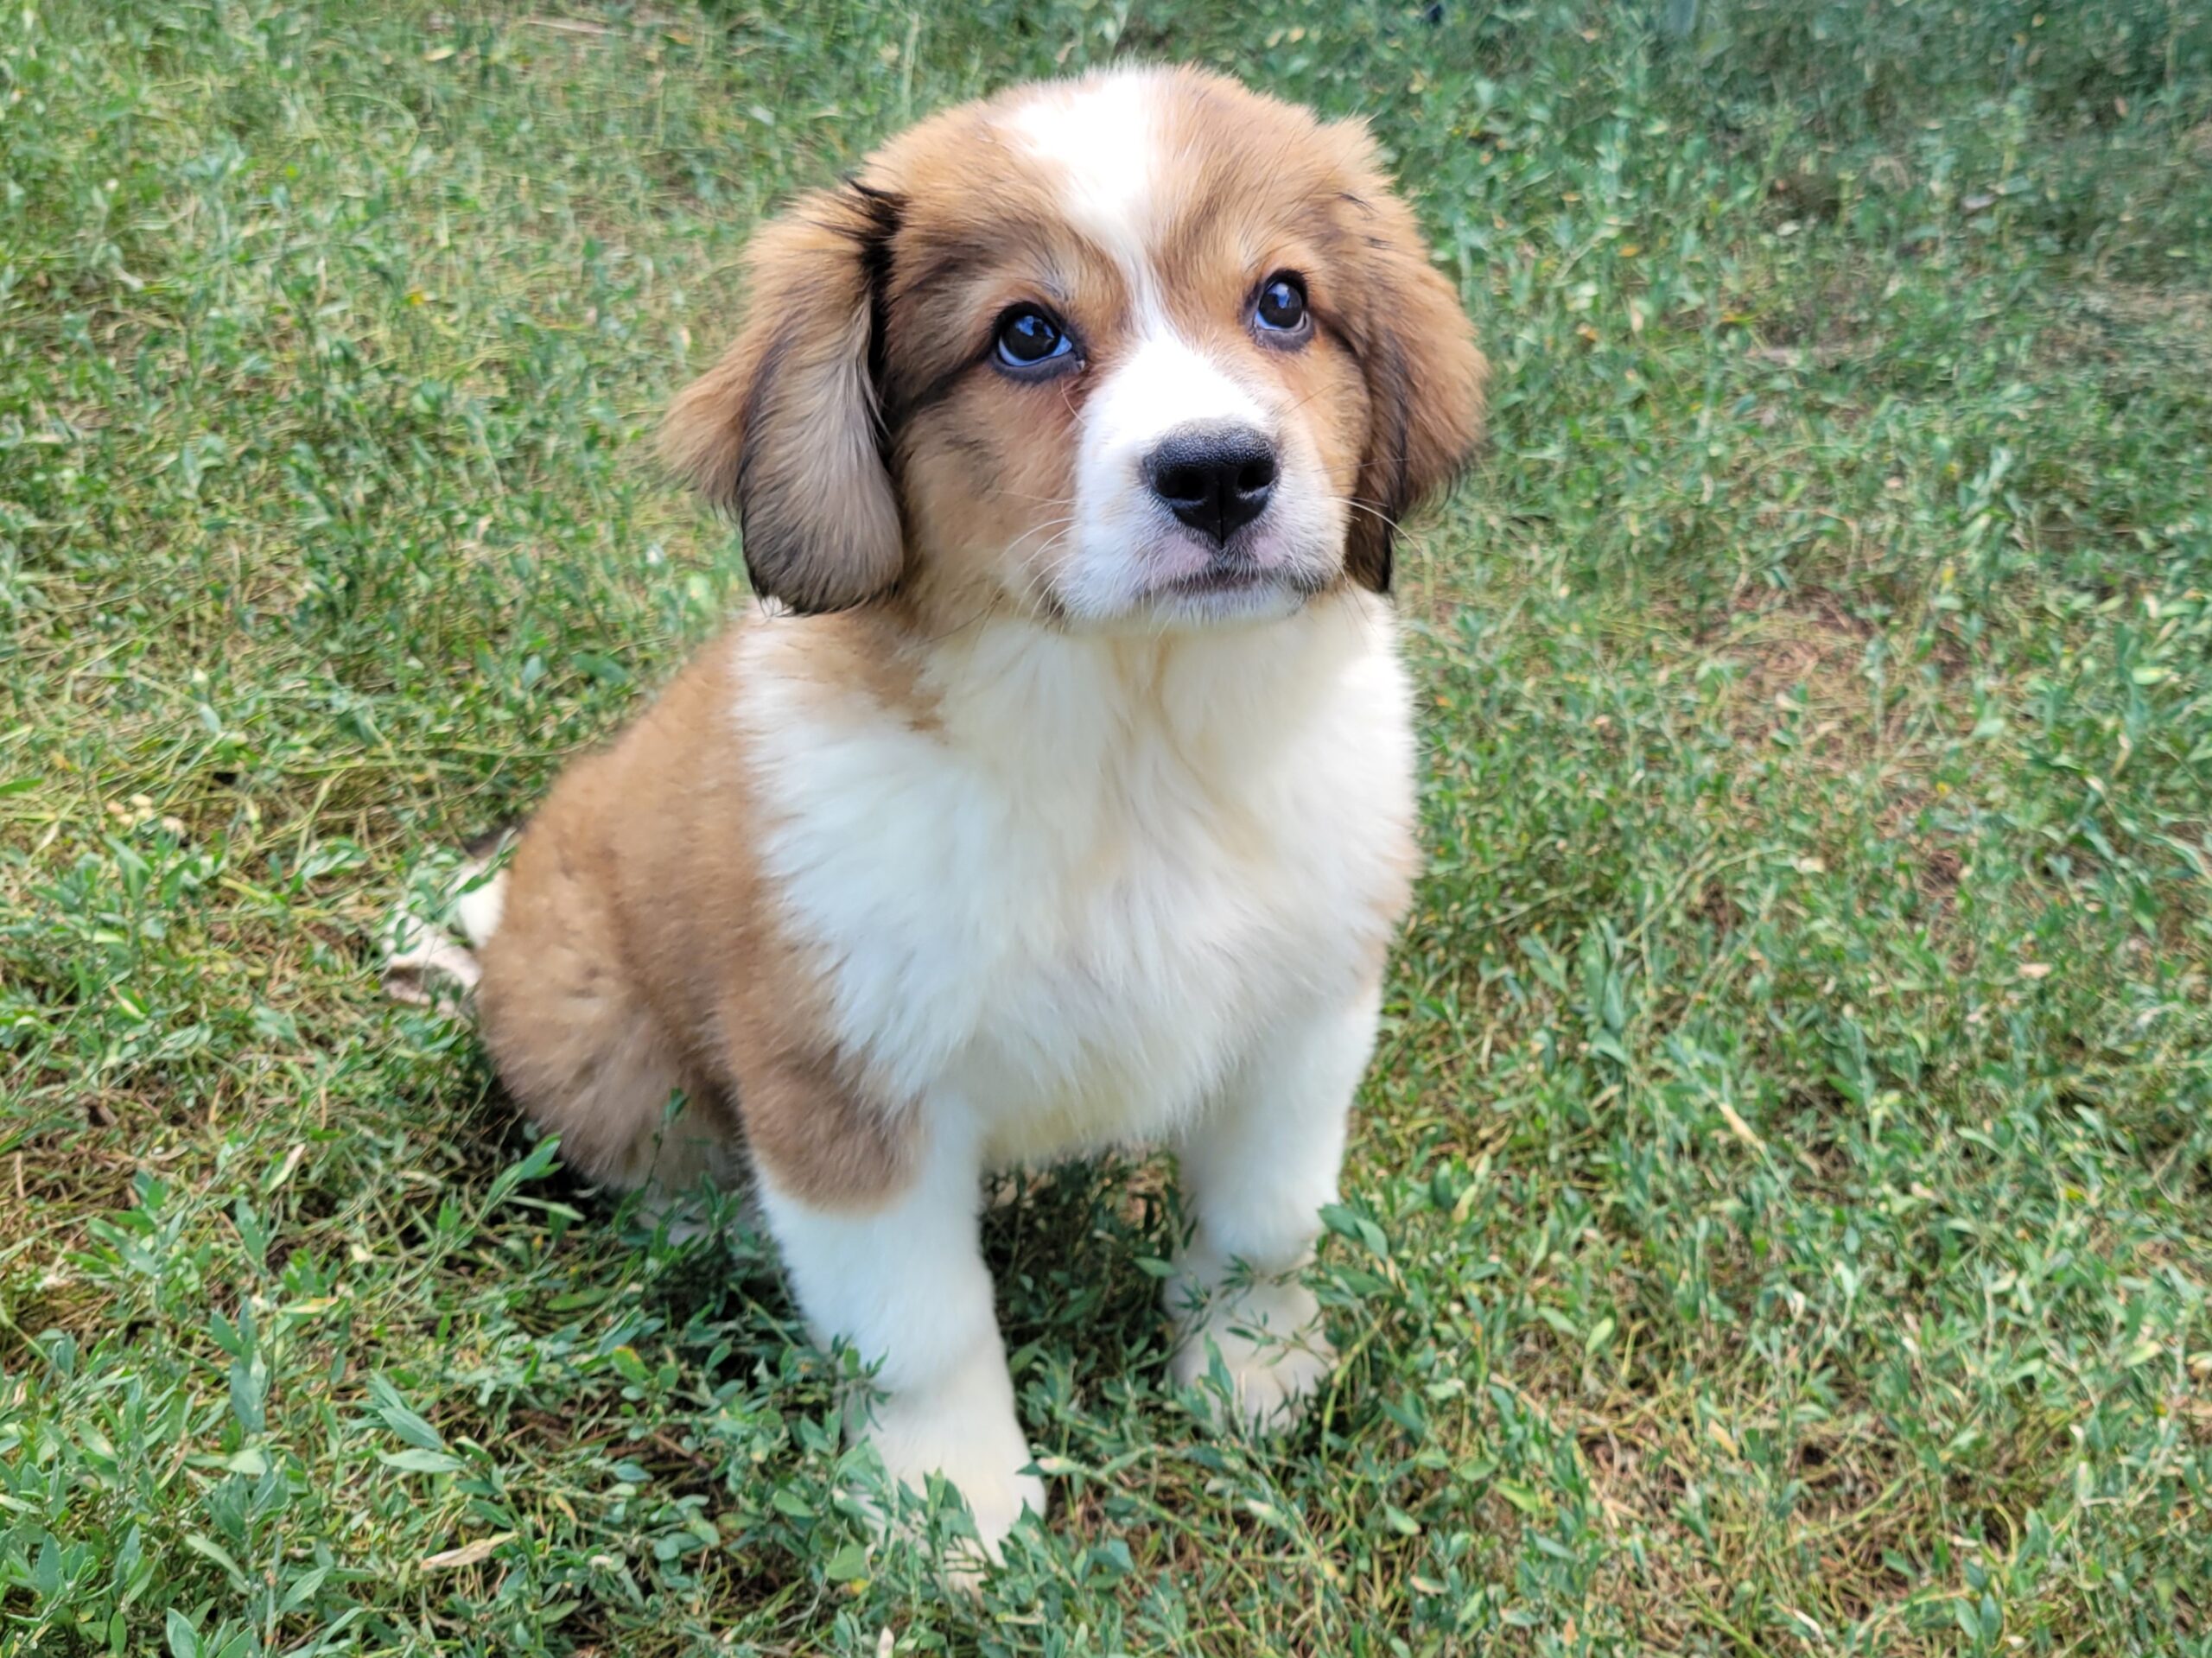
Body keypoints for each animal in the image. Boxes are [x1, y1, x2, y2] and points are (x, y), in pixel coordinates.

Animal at [467, 65, 1486, 1573]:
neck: (1135, 754)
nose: (1220, 472)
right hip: (602, 1036)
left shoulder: (1306, 1014)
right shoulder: (844, 1084)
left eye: (1283, 302)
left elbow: (1267, 1224)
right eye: (1026, 333)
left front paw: (1252, 1374)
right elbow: (921, 1325)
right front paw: (953, 1503)